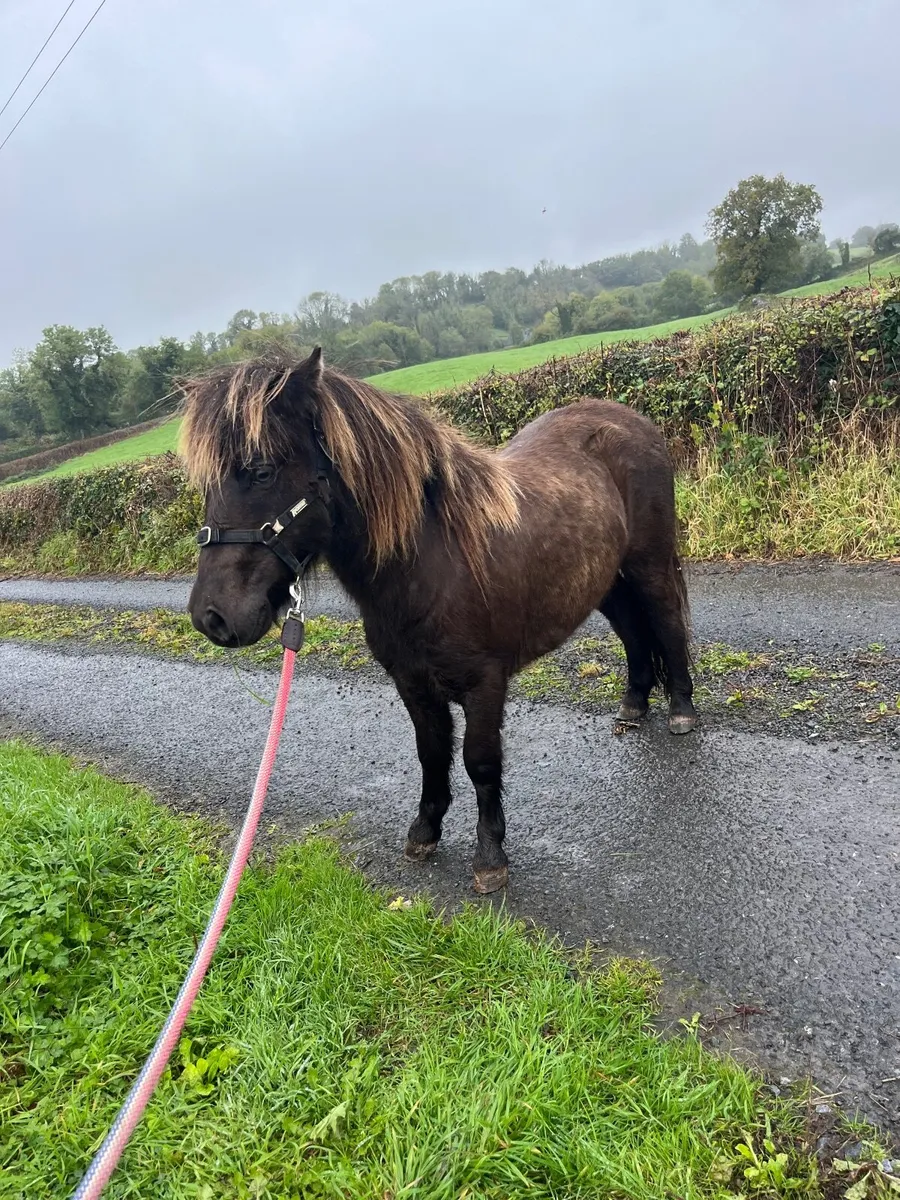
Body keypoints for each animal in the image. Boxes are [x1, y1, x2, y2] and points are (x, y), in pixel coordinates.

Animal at [180, 347, 696, 894]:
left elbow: (480, 761)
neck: (431, 562)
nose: (211, 617)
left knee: (667, 624)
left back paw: (682, 709)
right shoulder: (412, 682)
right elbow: (431, 752)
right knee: (634, 634)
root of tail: (630, 419)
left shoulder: (485, 684)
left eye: (259, 471)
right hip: (607, 581)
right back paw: (634, 705)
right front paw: (425, 831)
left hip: (649, 565)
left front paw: (490, 856)